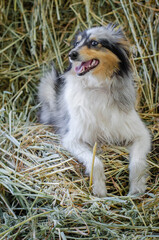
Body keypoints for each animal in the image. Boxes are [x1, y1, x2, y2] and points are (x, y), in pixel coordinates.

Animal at [38, 24, 151, 197]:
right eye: (76, 43)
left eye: (94, 43)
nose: (71, 54)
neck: (96, 86)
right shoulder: (72, 139)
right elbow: (95, 162)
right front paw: (99, 189)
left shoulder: (141, 134)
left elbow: (137, 162)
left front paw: (136, 188)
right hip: (48, 84)